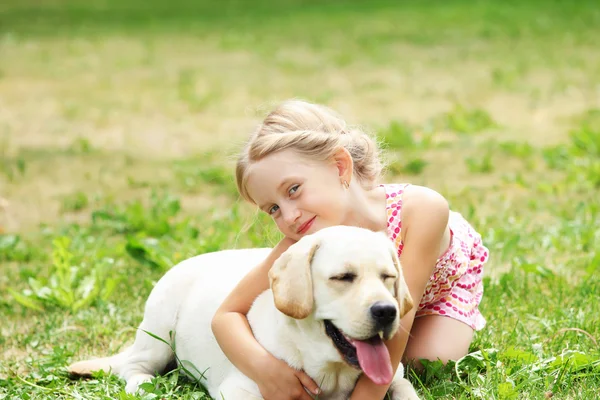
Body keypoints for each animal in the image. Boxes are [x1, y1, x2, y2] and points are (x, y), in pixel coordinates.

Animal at [68, 227, 420, 398]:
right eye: (343, 277)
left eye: (388, 277)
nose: (387, 311)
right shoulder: (240, 389)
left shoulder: (396, 378)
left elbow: (406, 391)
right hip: (158, 334)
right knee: (132, 368)